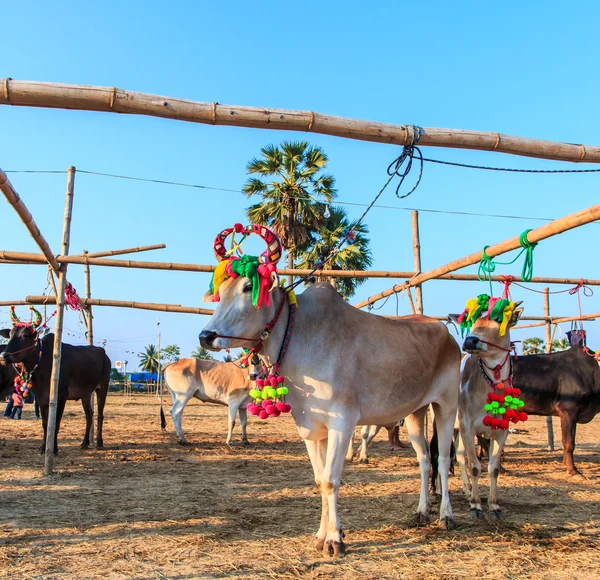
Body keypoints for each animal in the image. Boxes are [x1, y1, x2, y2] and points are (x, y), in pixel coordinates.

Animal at [0, 326, 110, 454]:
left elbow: (55, 423)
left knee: (100, 415)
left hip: (103, 387)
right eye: (10, 334)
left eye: (25, 335)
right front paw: (43, 448)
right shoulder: (41, 398)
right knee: (89, 415)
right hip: (86, 394)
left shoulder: (61, 396)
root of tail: (104, 354)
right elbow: (46, 424)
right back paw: (84, 443)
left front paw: (55, 449)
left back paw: (99, 443)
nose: (3, 356)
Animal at [202, 280, 460, 556]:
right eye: (221, 292)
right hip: (415, 412)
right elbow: (319, 480)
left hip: (446, 406)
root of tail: (447, 334)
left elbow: (330, 481)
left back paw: (446, 515)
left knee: (443, 459)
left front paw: (335, 539)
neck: (298, 337)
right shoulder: (312, 429)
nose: (205, 336)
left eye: (248, 286)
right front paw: (320, 536)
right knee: (424, 459)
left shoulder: (342, 423)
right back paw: (422, 511)